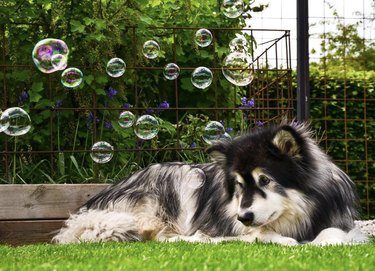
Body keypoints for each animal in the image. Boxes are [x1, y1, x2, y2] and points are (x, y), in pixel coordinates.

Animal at [53, 123, 370, 246]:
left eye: (265, 180)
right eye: (239, 185)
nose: (243, 216)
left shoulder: (337, 220)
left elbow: (334, 233)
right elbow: (267, 235)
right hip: (181, 182)